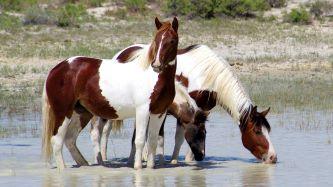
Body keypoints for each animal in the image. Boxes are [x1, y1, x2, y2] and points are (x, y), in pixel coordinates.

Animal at [42, 17, 180, 169]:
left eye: (172, 40)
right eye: (156, 39)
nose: (156, 65)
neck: (152, 76)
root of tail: (57, 68)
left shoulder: (159, 113)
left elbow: (153, 141)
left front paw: (150, 167)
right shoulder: (142, 111)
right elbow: (139, 140)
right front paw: (137, 167)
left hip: (82, 113)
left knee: (69, 139)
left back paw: (86, 165)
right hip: (63, 112)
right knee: (56, 140)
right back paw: (63, 170)